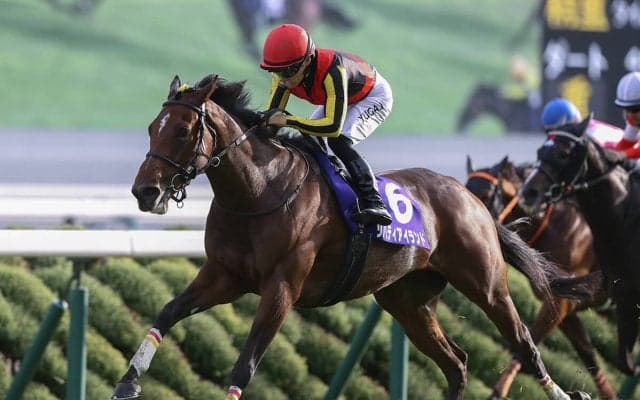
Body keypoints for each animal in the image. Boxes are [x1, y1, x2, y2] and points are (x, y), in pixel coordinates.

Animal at [111, 73, 590, 400]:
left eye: (183, 131)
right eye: (152, 127)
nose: (144, 191)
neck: (259, 191)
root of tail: (471, 198)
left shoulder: (281, 287)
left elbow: (245, 364)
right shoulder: (224, 276)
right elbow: (167, 312)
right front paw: (127, 382)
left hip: (486, 284)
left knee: (524, 344)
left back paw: (567, 392)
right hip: (406, 301)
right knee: (456, 363)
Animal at [465, 156, 615, 399]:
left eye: (487, 194)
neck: (551, 224)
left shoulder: (561, 303)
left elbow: (528, 343)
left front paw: (498, 391)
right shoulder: (566, 308)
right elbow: (589, 356)